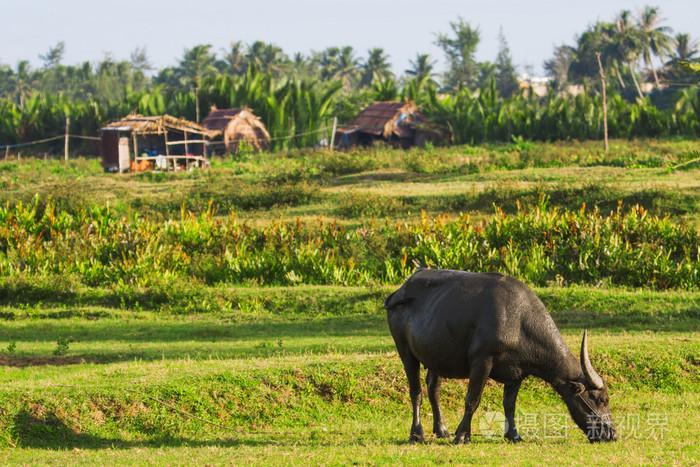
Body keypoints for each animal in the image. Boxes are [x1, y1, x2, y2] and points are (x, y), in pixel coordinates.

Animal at [386, 268, 616, 444]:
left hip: (436, 356)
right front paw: (462, 435)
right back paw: (417, 433)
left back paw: (441, 430)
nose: (611, 433)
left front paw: (513, 435)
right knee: (416, 391)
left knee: (433, 388)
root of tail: (398, 294)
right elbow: (472, 400)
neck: (519, 323)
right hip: (405, 351)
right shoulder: (482, 362)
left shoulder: (516, 373)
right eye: (600, 399)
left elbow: (509, 404)